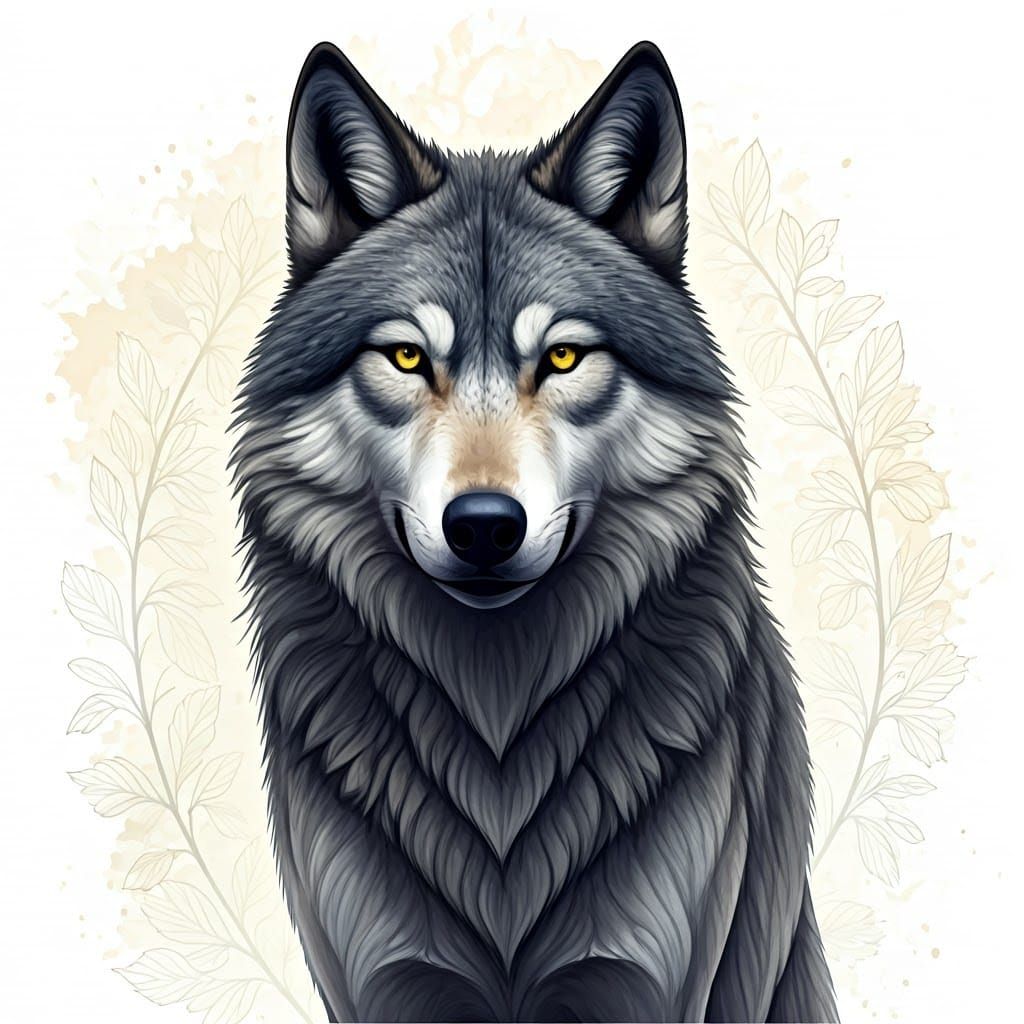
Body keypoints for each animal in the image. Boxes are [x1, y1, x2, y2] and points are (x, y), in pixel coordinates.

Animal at [232, 39, 837, 1023]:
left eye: (561, 356)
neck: (498, 728)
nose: (484, 527)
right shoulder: (383, 987)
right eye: (407, 356)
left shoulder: (649, 983)